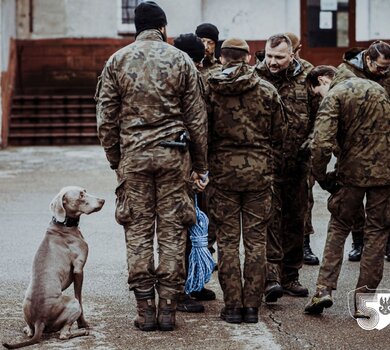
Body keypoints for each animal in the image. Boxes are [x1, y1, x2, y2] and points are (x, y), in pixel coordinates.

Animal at [2, 186, 105, 348]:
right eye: (81, 195)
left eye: (85, 190)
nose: (102, 200)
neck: (63, 226)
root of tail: (39, 320)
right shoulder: (79, 269)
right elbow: (80, 296)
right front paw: (83, 324)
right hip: (72, 304)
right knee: (64, 334)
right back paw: (82, 332)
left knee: (31, 331)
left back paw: (27, 328)